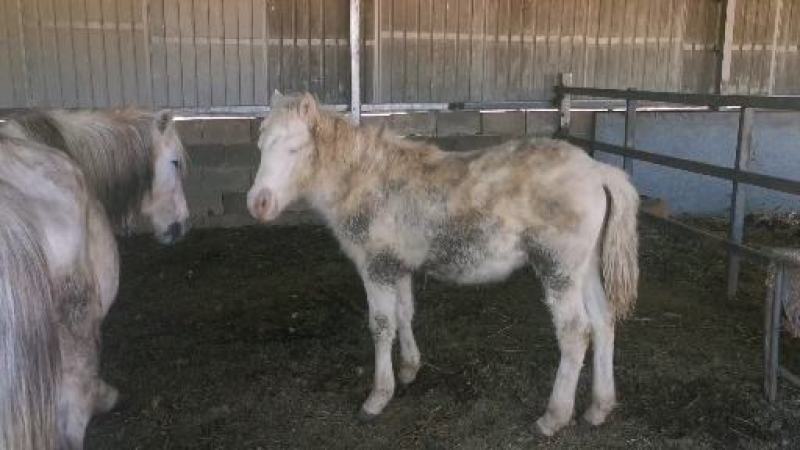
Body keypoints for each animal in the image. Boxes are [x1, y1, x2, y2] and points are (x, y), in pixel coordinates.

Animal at [247, 92, 640, 436]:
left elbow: (381, 326)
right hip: (584, 268)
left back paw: (553, 418)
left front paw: (377, 398)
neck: (366, 180)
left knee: (575, 333)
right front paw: (408, 369)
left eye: (295, 147)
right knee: (603, 322)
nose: (258, 204)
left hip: (558, 268)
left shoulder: (375, 266)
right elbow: (404, 314)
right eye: (261, 144)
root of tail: (598, 170)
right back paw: (599, 408)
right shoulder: (398, 266)